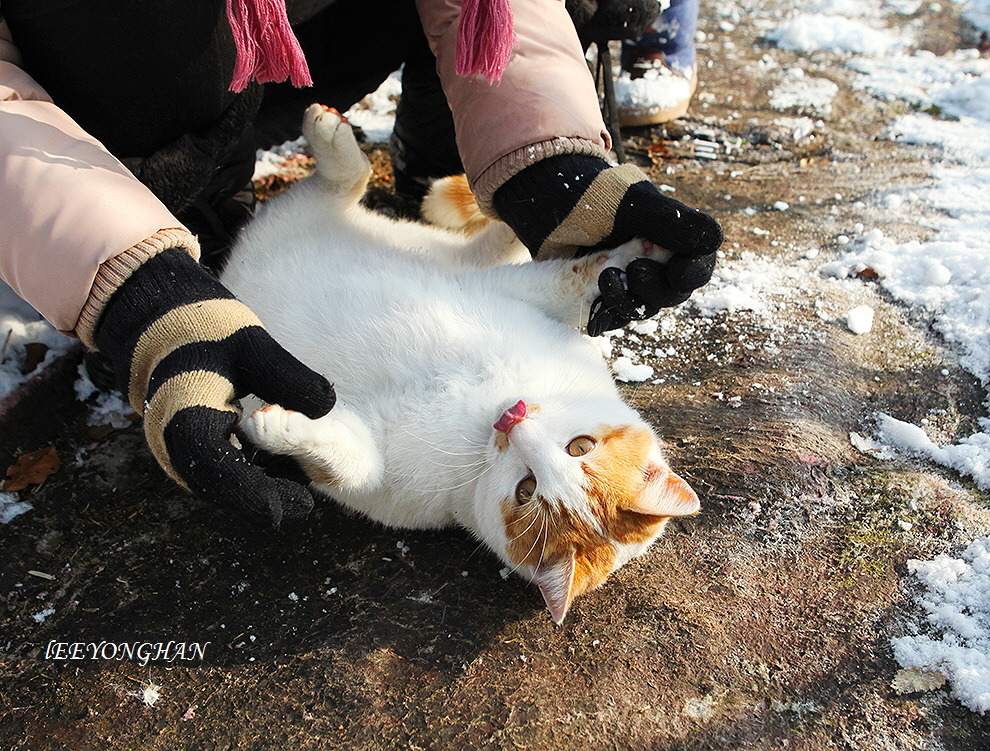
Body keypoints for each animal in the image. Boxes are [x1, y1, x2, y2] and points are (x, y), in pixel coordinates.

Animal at [223, 104, 704, 624]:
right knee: (472, 239)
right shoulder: (515, 292)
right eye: (581, 446)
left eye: (526, 490)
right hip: (442, 259)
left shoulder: (381, 481)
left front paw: (280, 426)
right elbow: (575, 279)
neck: (483, 397)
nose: (513, 420)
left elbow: (352, 461)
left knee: (336, 191)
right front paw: (642, 248)